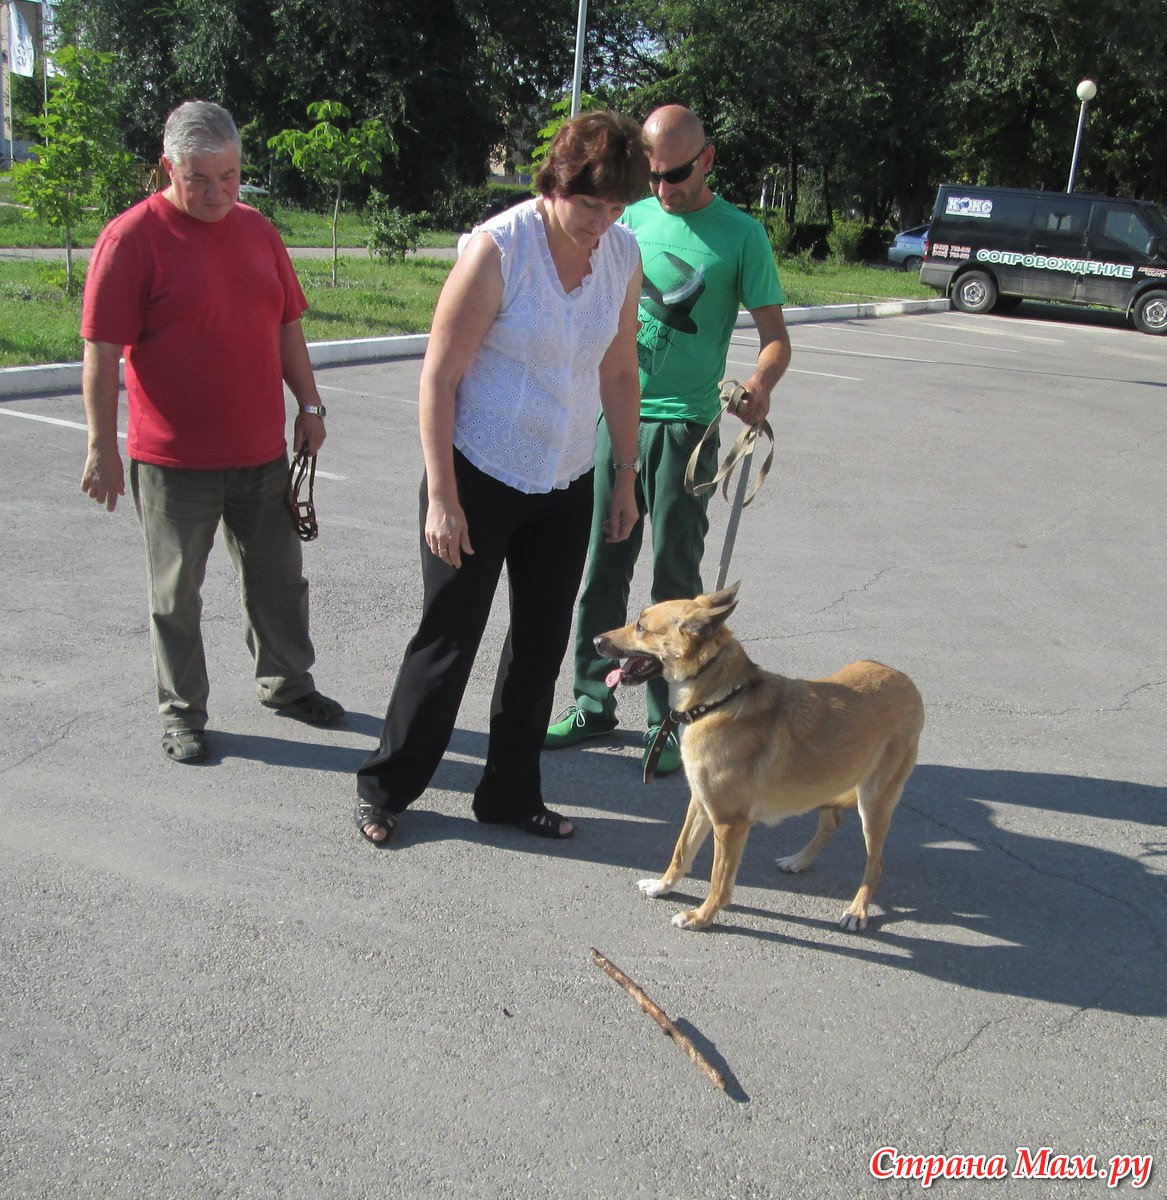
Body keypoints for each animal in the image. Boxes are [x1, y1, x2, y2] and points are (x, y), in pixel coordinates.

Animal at [597, 585, 926, 931]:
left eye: (640, 626)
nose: (595, 640)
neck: (718, 699)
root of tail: (905, 680)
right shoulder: (701, 803)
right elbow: (681, 851)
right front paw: (663, 887)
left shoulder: (729, 824)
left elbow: (719, 881)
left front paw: (702, 917)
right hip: (824, 785)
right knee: (832, 822)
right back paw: (798, 860)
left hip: (873, 804)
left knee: (876, 863)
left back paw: (858, 909)